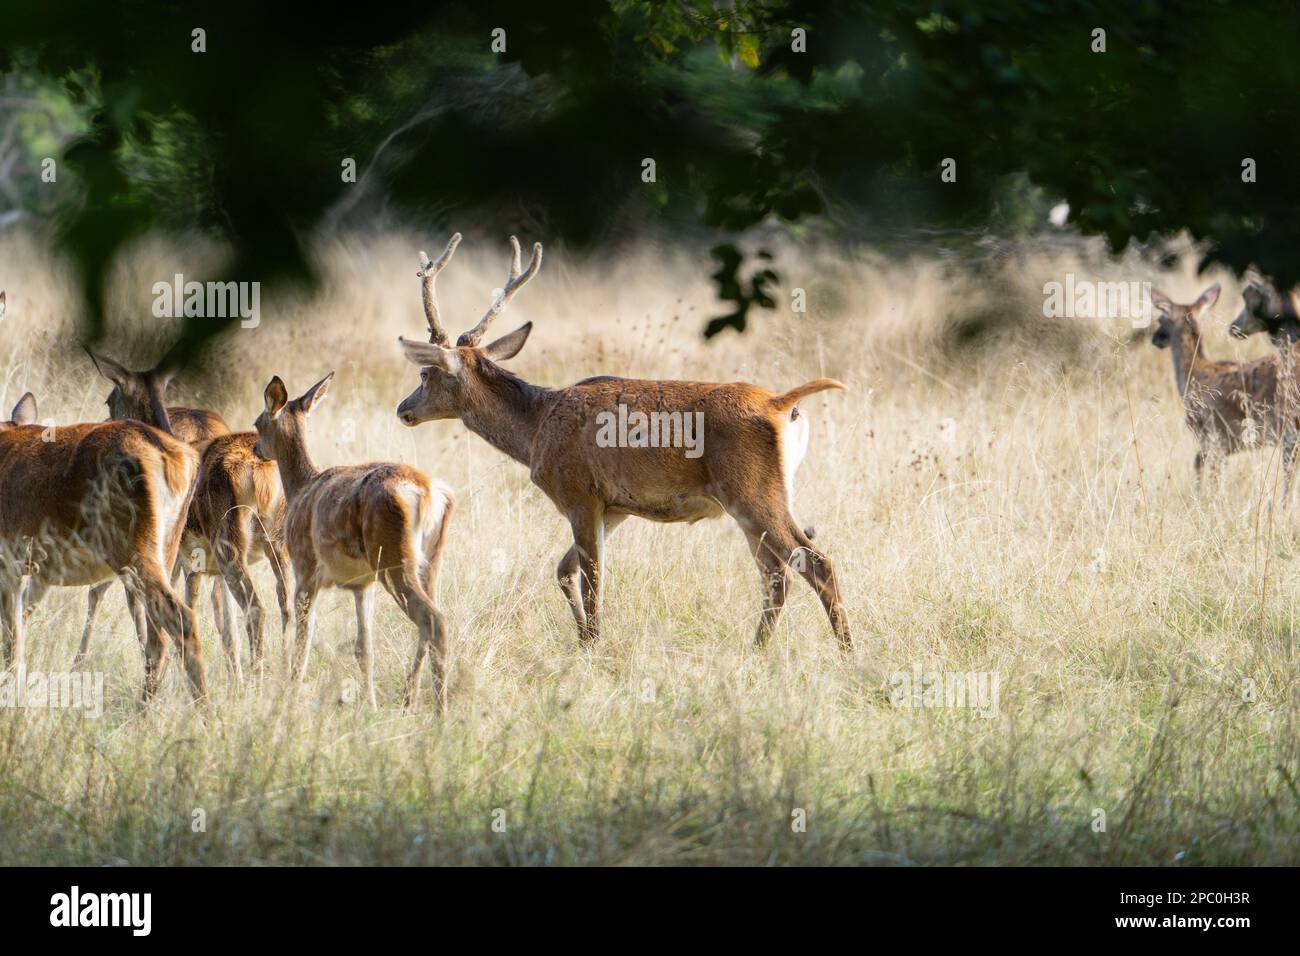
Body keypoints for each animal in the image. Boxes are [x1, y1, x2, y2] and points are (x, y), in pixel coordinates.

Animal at [84, 345, 292, 681]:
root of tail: (260, 474)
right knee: (290, 605)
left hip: (229, 546)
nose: (106, 426)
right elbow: (224, 627)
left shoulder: (181, 557)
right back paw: (288, 679)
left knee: (256, 609)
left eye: (110, 398)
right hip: (278, 543)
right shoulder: (197, 565)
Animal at [253, 374, 457, 712]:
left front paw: (289, 702)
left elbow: (302, 644)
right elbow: (364, 648)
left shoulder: (304, 570)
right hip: (430, 561)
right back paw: (409, 701)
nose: (257, 449)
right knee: (429, 622)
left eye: (258, 423)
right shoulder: (362, 584)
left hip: (393, 557)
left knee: (434, 621)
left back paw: (439, 713)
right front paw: (370, 706)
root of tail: (428, 492)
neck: (300, 489)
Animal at [395, 235, 852, 650]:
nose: (403, 409)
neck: (536, 427)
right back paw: (758, 650)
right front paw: (583, 641)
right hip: (759, 499)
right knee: (777, 575)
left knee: (815, 562)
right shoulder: (614, 507)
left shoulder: (578, 493)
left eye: (425, 374)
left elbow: (592, 580)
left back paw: (846, 651)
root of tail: (782, 404)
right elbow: (565, 571)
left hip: (753, 491)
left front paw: (594, 645)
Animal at [1149, 282, 1300, 494]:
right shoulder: (1225, 445)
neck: (1193, 376)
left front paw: (1204, 497)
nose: (1155, 338)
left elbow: (1205, 469)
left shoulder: (1213, 435)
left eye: (1161, 318)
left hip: (1288, 427)